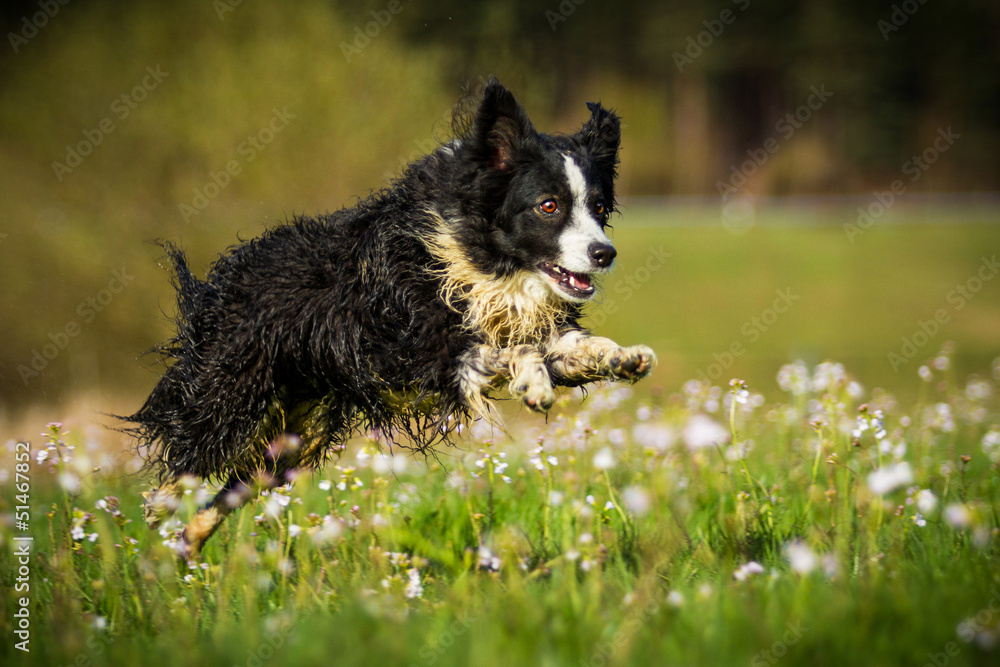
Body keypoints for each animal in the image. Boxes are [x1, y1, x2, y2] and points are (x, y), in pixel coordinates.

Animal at [127, 78, 656, 556]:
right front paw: (534, 383)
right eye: (548, 206)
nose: (604, 253)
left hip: (298, 438)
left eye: (599, 207)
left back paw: (189, 540)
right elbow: (508, 350)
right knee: (194, 449)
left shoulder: (529, 323)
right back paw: (157, 506)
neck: (481, 257)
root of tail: (226, 277)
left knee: (237, 484)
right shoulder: (427, 349)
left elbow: (570, 346)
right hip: (234, 390)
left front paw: (624, 357)